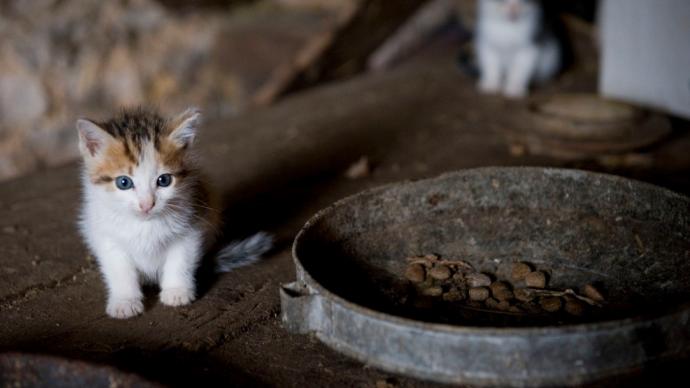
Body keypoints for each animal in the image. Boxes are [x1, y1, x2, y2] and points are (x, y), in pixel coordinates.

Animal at [75, 107, 268, 318]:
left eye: (164, 180)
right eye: (123, 182)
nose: (147, 204)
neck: (145, 224)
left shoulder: (193, 225)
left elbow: (181, 259)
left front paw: (177, 291)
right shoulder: (104, 234)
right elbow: (119, 269)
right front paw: (125, 301)